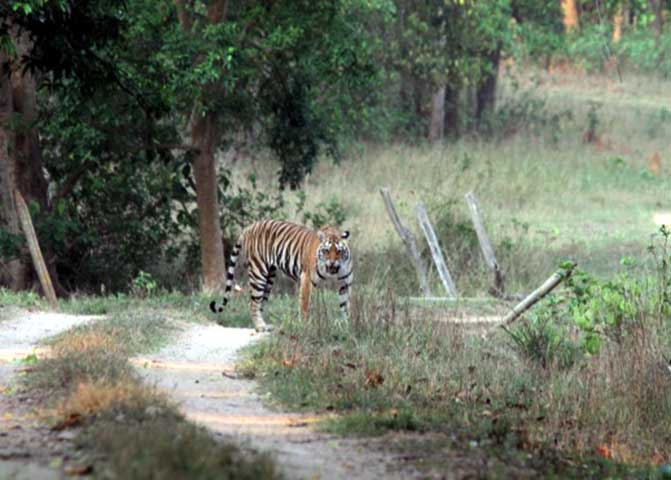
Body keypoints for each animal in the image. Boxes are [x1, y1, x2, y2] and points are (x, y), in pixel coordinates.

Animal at [210, 220, 354, 330]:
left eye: (339, 251)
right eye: (326, 251)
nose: (332, 263)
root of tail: (250, 227)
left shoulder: (345, 283)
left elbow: (345, 305)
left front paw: (347, 326)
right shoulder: (307, 279)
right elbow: (304, 304)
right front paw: (305, 326)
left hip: (269, 277)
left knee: (260, 302)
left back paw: (265, 325)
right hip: (258, 273)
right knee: (253, 303)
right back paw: (260, 327)